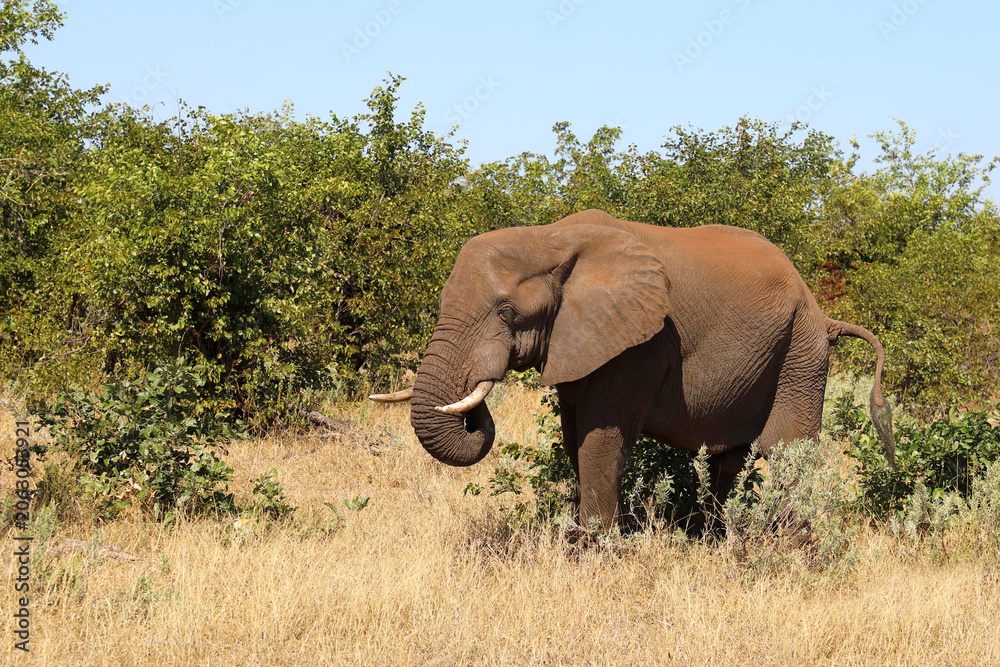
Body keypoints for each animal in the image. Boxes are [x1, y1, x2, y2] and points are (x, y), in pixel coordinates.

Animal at [371, 209, 894, 530]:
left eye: (505, 312)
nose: (470, 409)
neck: (550, 237)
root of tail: (823, 313)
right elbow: (575, 436)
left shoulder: (639, 344)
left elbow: (601, 439)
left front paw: (591, 551)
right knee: (729, 462)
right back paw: (715, 542)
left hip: (800, 353)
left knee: (785, 454)